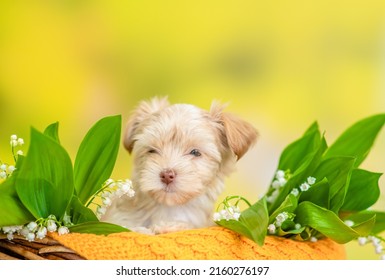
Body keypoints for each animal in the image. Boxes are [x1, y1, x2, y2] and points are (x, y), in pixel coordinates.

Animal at [101, 97, 258, 234]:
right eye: (152, 150)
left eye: (195, 152)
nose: (167, 175)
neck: (168, 209)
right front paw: (142, 230)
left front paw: (168, 227)